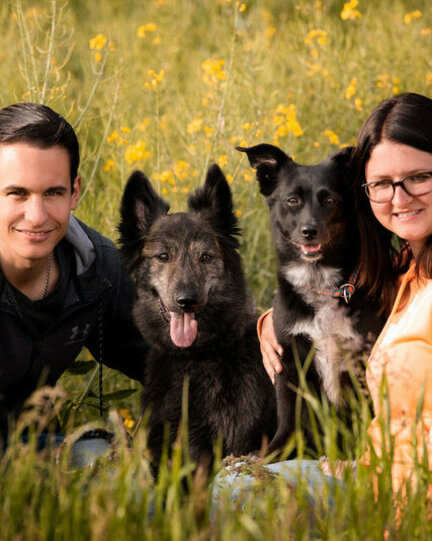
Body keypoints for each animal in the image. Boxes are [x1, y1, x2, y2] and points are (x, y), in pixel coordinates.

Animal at [238, 143, 384, 456]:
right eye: (292, 200)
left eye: (329, 200)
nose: (309, 231)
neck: (318, 284)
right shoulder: (289, 361)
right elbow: (288, 420)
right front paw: (271, 455)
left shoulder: (361, 357)